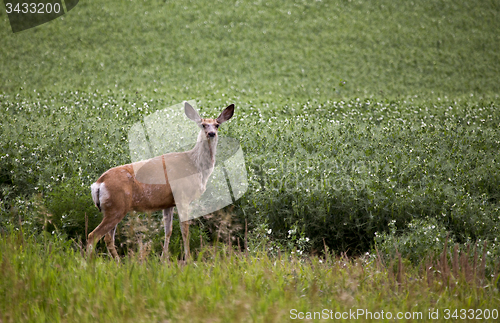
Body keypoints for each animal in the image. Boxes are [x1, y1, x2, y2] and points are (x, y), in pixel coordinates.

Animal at [87, 102, 234, 262]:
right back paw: (89, 262)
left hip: (113, 208)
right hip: (116, 206)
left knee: (108, 237)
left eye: (217, 125)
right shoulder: (182, 195)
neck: (196, 166)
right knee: (93, 235)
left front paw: (164, 259)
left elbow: (168, 231)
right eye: (203, 125)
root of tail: (98, 183)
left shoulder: (168, 203)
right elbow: (185, 230)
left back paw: (118, 262)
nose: (211, 133)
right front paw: (188, 260)